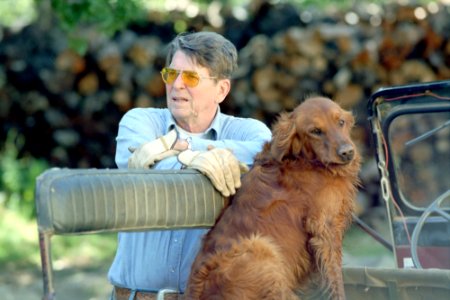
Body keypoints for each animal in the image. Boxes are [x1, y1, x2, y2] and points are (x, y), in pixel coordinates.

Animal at [185, 97, 360, 298]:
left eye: (341, 122)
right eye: (315, 131)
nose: (347, 152)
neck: (305, 160)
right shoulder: (326, 230)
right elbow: (336, 281)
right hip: (261, 247)